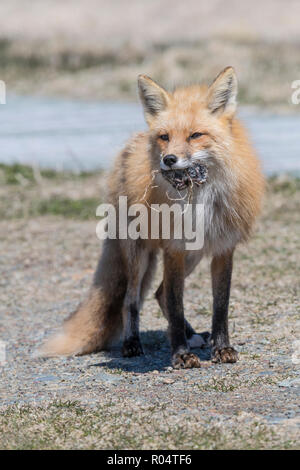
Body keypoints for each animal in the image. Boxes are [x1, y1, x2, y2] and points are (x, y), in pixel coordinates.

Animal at [41, 67, 264, 368]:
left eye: (196, 135)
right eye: (165, 137)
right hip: (139, 253)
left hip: (194, 254)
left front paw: (222, 348)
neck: (199, 198)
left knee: (158, 293)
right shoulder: (173, 249)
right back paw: (132, 343)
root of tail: (130, 144)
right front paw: (181, 354)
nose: (168, 160)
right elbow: (176, 302)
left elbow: (220, 305)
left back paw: (192, 335)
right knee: (131, 298)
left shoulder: (223, 248)